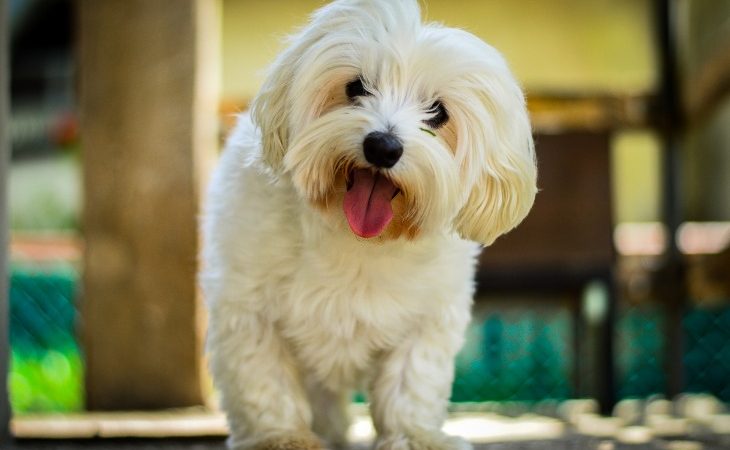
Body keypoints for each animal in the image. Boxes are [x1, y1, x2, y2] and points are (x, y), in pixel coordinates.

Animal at [199, 0, 536, 450]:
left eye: (438, 112)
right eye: (356, 87)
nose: (383, 146)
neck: (357, 240)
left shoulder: (427, 319)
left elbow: (413, 382)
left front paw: (415, 436)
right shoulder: (247, 308)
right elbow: (263, 380)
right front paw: (281, 436)